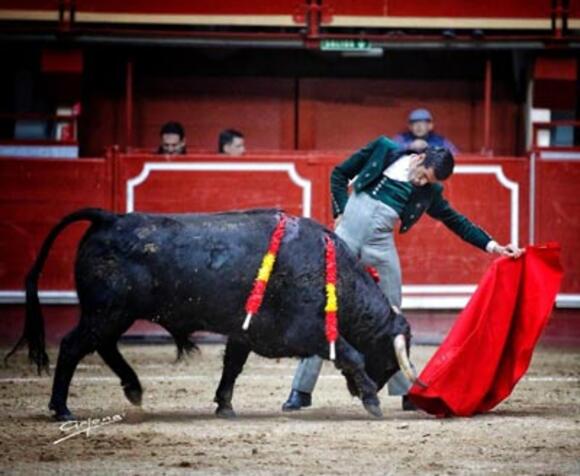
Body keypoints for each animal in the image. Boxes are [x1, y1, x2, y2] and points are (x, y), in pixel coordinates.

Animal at [7, 208, 416, 420]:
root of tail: (109, 218)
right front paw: (372, 402)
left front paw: (224, 405)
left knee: (102, 346)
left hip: (111, 314)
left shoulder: (245, 332)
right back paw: (62, 408)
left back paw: (133, 388)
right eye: (390, 357)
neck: (327, 267)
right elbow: (350, 352)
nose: (364, 389)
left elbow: (232, 366)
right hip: (106, 311)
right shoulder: (303, 330)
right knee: (73, 347)